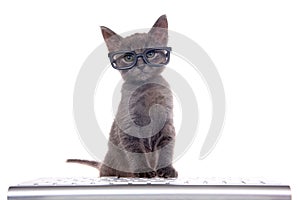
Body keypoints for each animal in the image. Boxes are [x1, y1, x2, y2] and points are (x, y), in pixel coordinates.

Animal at [67, 15, 178, 178]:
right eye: (128, 57)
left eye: (150, 54)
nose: (140, 65)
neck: (146, 88)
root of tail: (103, 164)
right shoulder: (128, 126)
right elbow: (136, 151)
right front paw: (144, 171)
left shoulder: (166, 124)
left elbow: (166, 149)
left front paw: (167, 170)